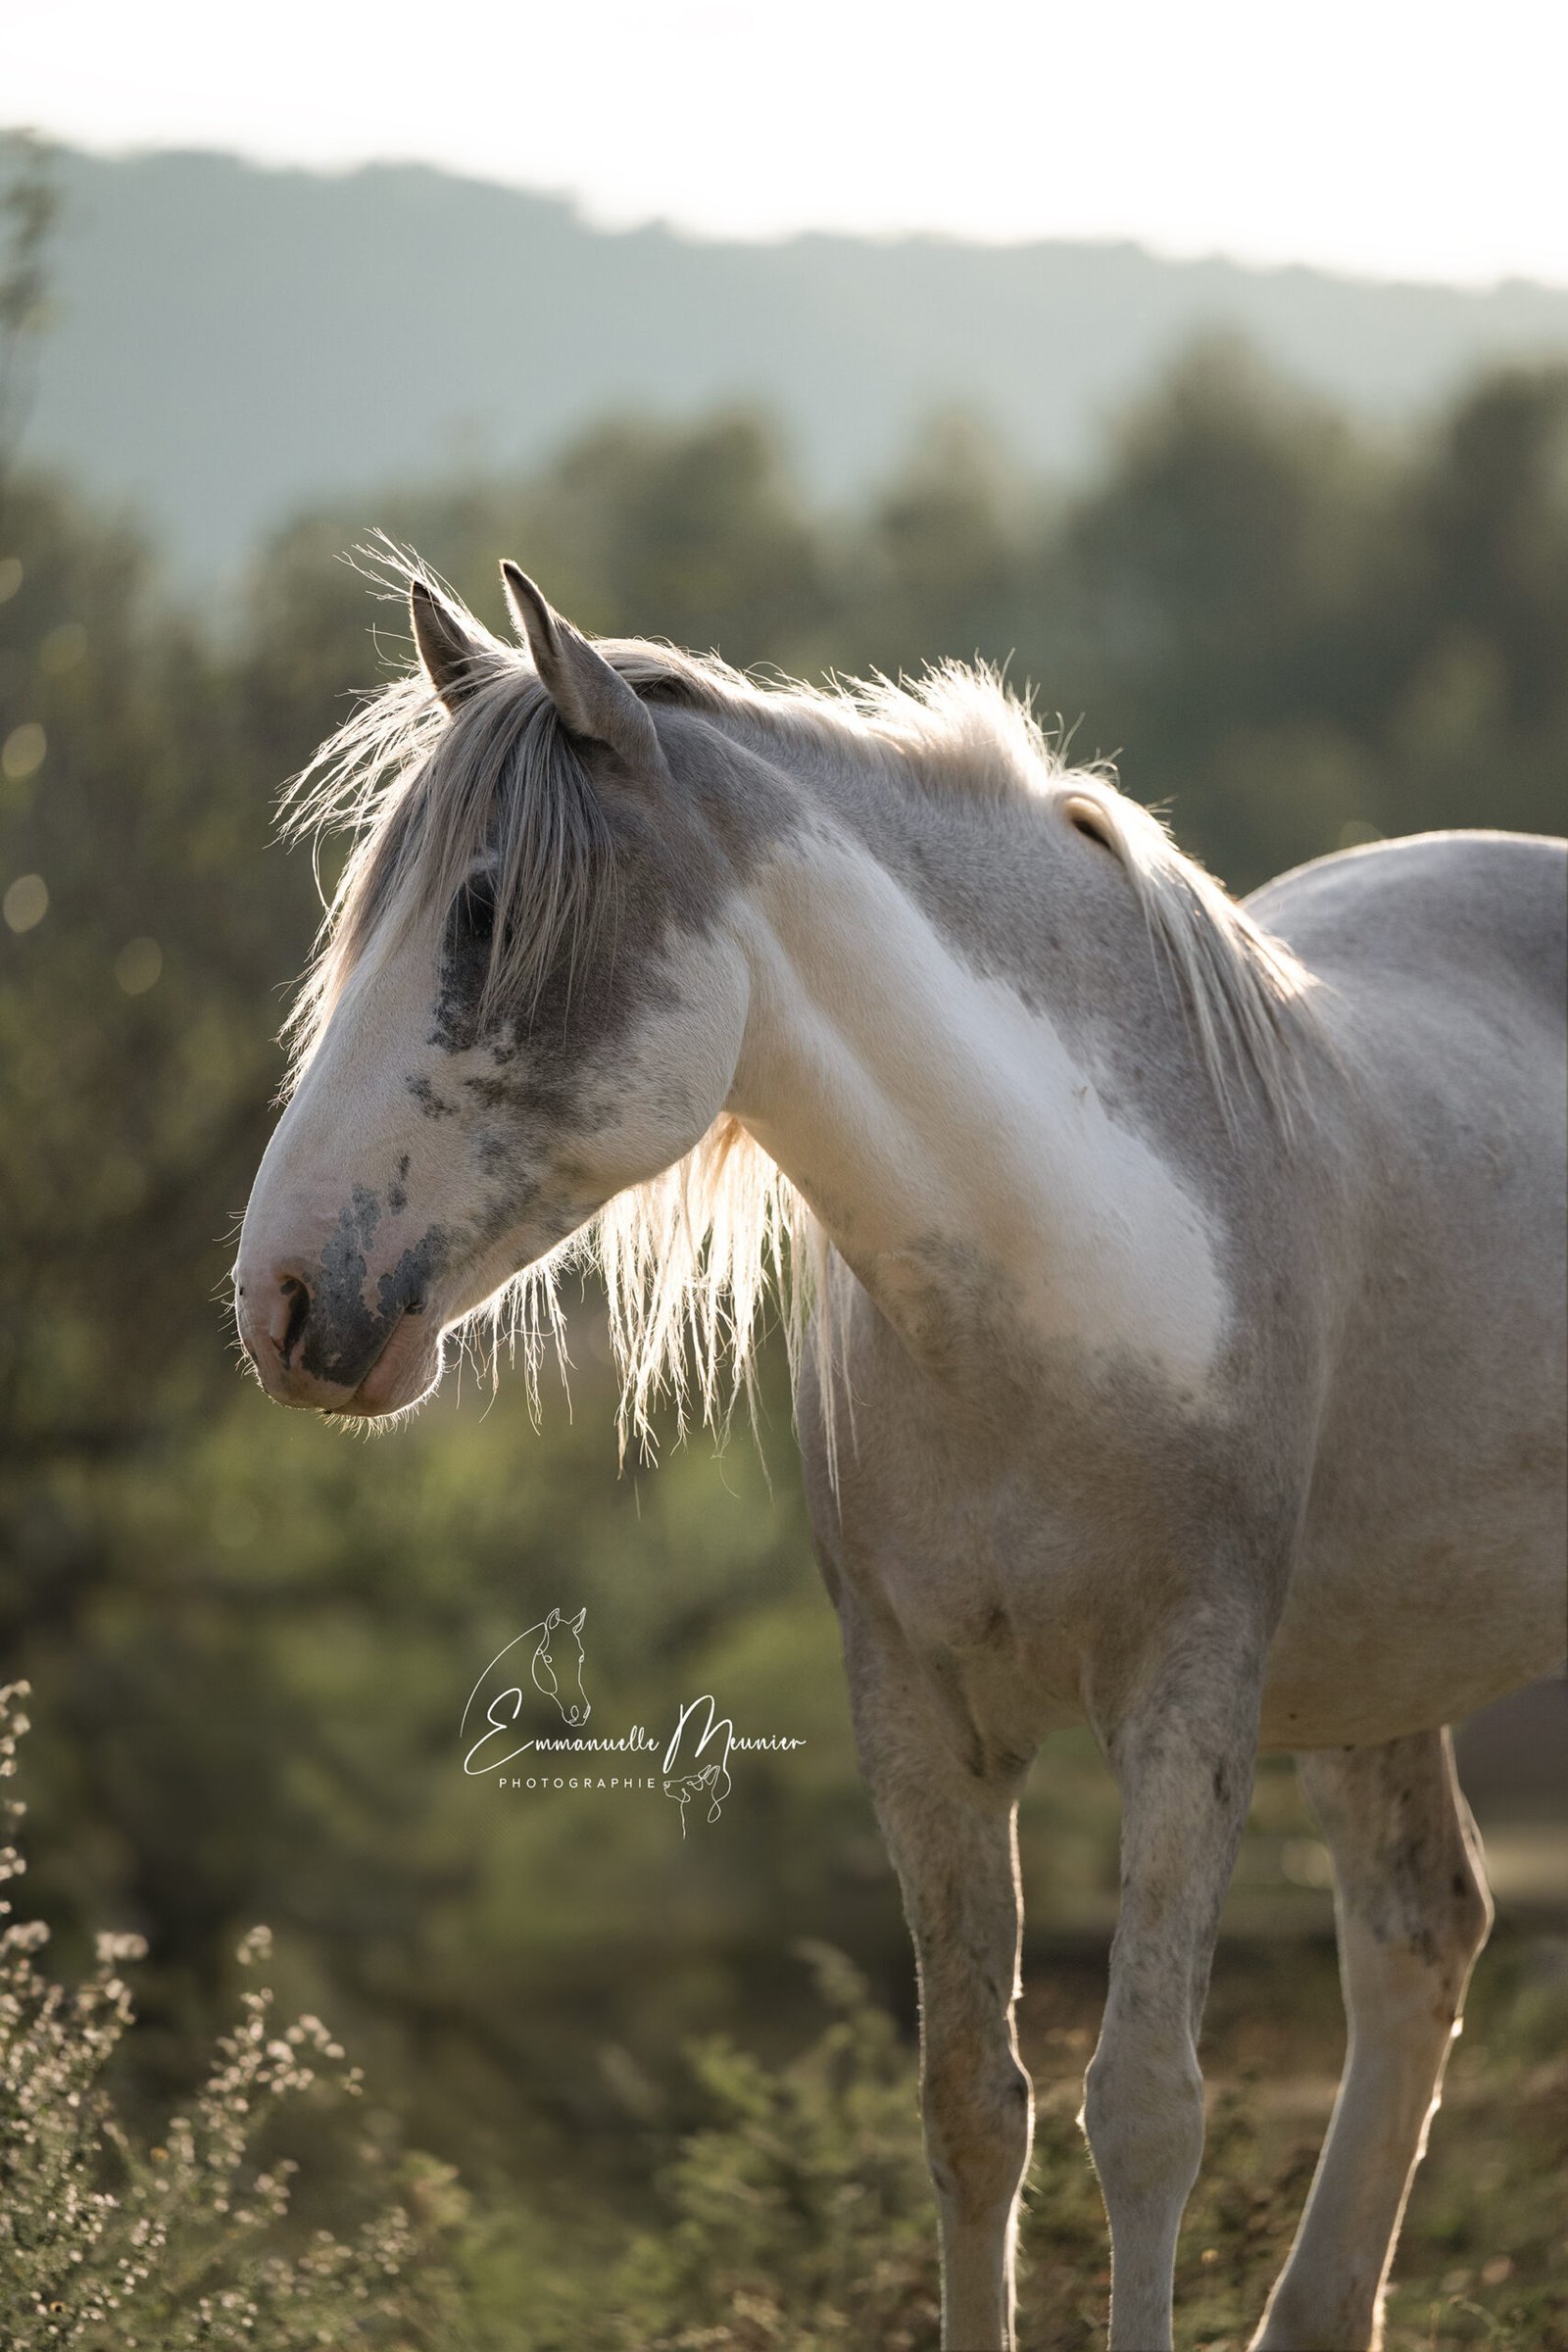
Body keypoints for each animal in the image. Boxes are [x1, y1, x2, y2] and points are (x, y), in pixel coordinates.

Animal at [226, 560, 1560, 2342]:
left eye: (485, 915)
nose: (284, 1300)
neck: (1058, 1267)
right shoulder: (920, 1720)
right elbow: (971, 2103)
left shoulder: (1188, 1701)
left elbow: (1145, 2109)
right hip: (1372, 1678)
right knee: (1420, 1938)